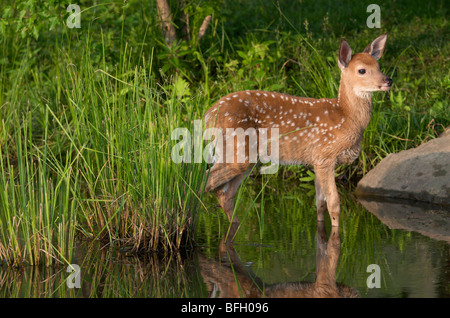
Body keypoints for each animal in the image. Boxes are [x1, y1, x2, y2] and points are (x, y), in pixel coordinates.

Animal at [202, 33, 392, 229]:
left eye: (378, 66)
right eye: (362, 70)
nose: (388, 80)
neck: (346, 117)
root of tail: (208, 115)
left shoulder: (316, 161)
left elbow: (320, 204)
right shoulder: (325, 155)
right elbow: (334, 205)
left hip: (247, 158)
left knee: (225, 193)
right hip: (237, 149)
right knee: (207, 181)